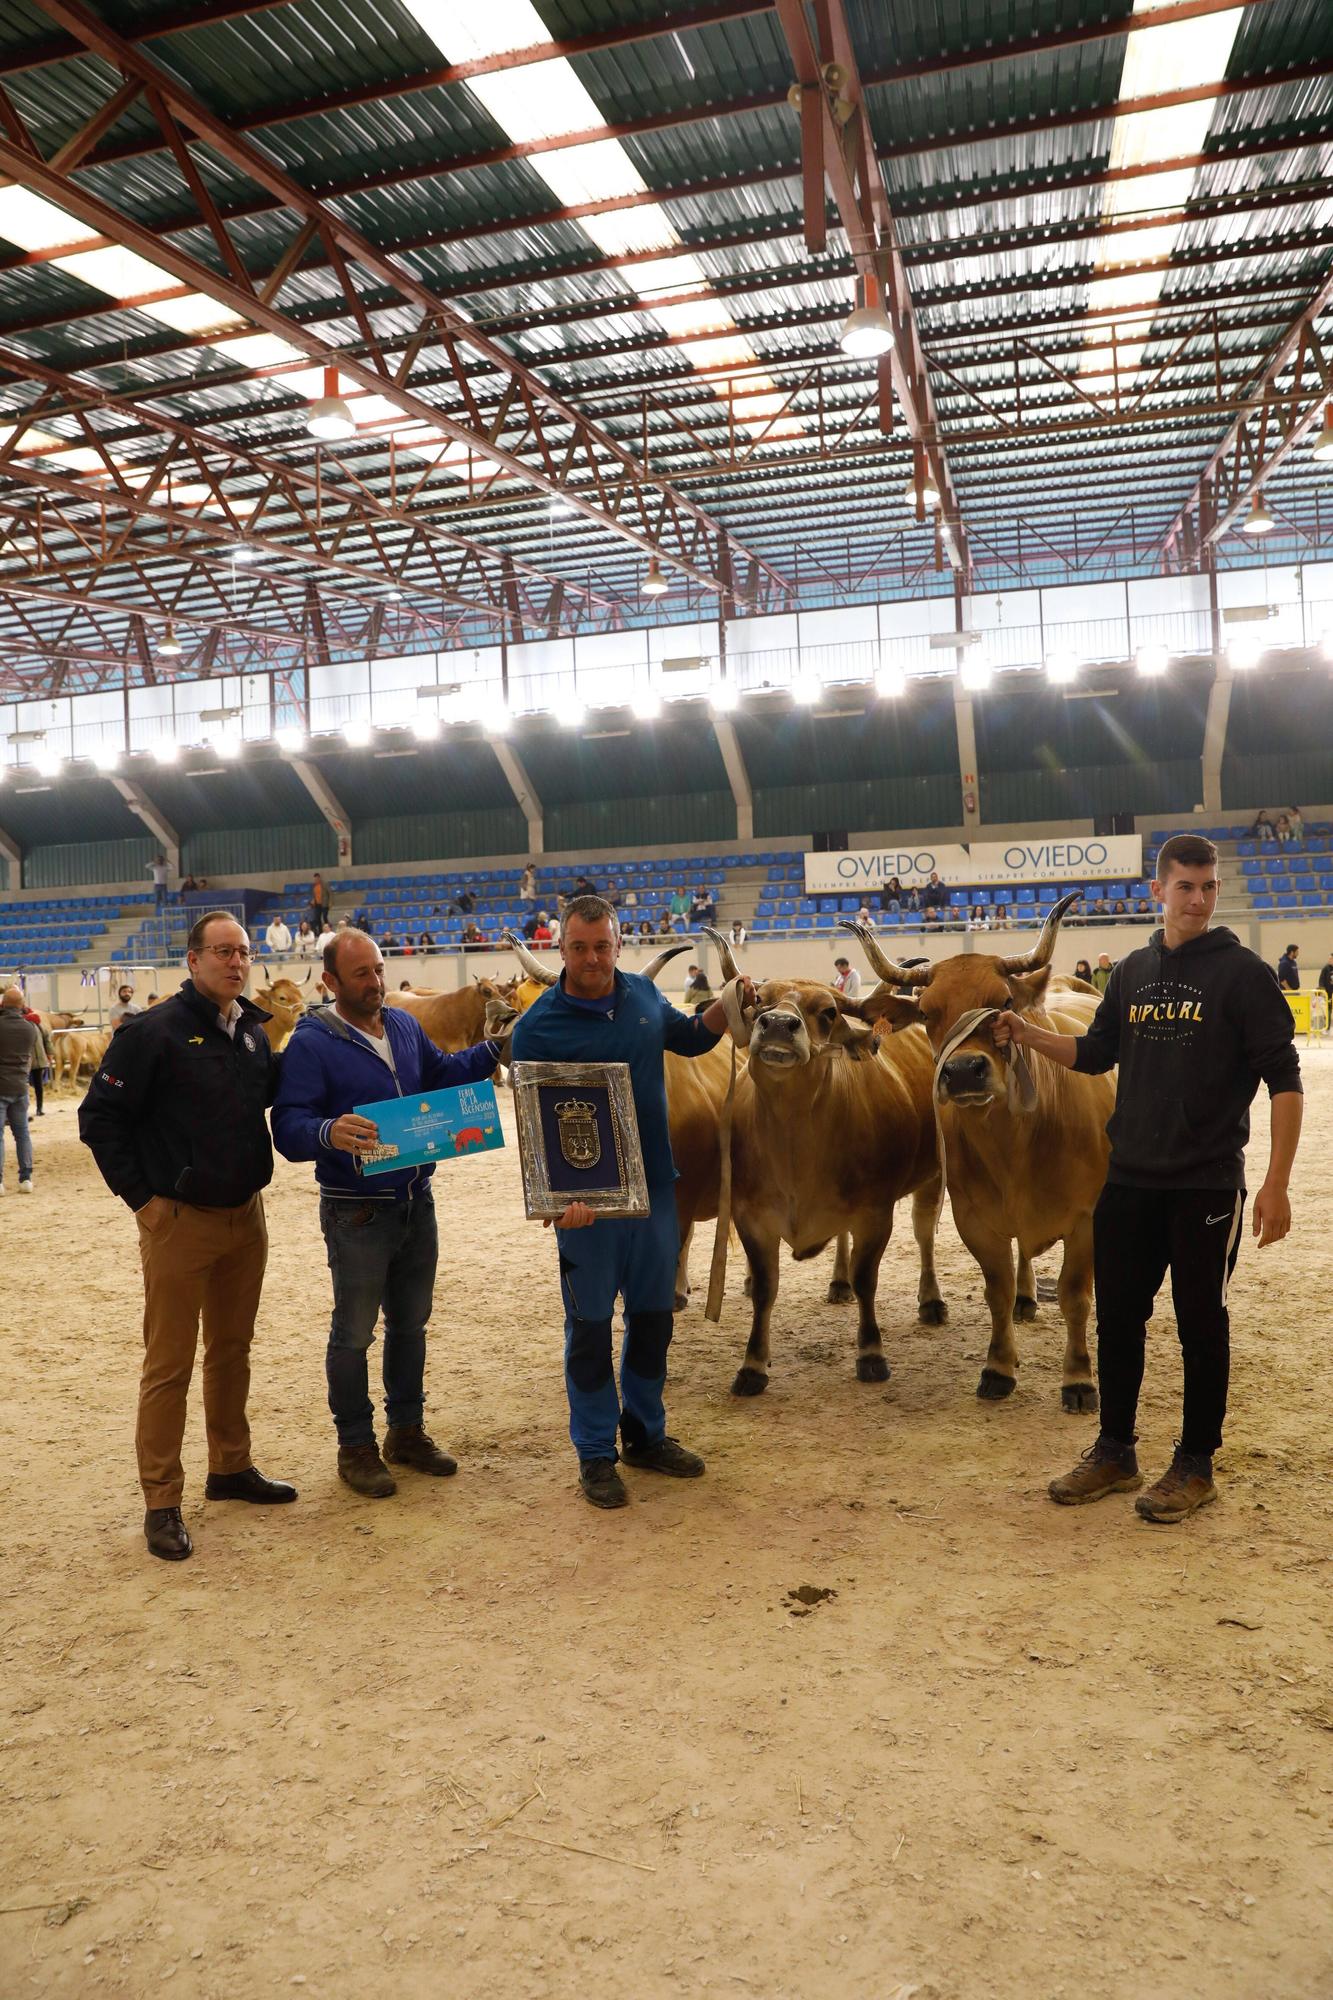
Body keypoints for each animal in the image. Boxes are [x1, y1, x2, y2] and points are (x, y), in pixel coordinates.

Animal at [700, 928, 940, 1400]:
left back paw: (931, 1301)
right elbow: (766, 1289)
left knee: (924, 1233)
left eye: (828, 1012)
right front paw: (752, 1365)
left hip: (934, 1174)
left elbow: (868, 1279)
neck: (797, 1150)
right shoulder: (751, 1216)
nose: (777, 1024)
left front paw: (871, 1353)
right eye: (760, 1002)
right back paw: (838, 1281)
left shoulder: (875, 1213)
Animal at [840, 900, 1112, 1416]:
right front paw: (998, 1368)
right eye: (927, 1011)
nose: (965, 1070)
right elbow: (997, 1291)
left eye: (1003, 1003)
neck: (1016, 1145)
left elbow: (1075, 1297)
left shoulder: (1088, 1220)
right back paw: (1027, 1297)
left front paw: (1079, 1379)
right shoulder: (975, 1218)